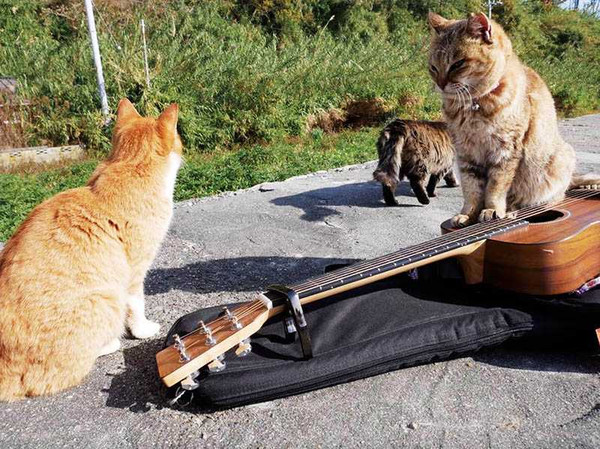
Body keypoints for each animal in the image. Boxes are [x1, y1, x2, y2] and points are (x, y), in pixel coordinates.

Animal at [0, 99, 183, 400]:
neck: (129, 166)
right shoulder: (134, 272)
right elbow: (137, 304)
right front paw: (143, 330)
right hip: (105, 299)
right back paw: (110, 343)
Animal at [426, 12, 596, 226]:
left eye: (458, 64)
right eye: (433, 67)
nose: (440, 84)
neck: (474, 106)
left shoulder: (505, 151)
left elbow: (495, 187)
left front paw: (492, 210)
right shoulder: (466, 154)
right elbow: (471, 190)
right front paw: (467, 214)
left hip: (561, 158)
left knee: (554, 195)